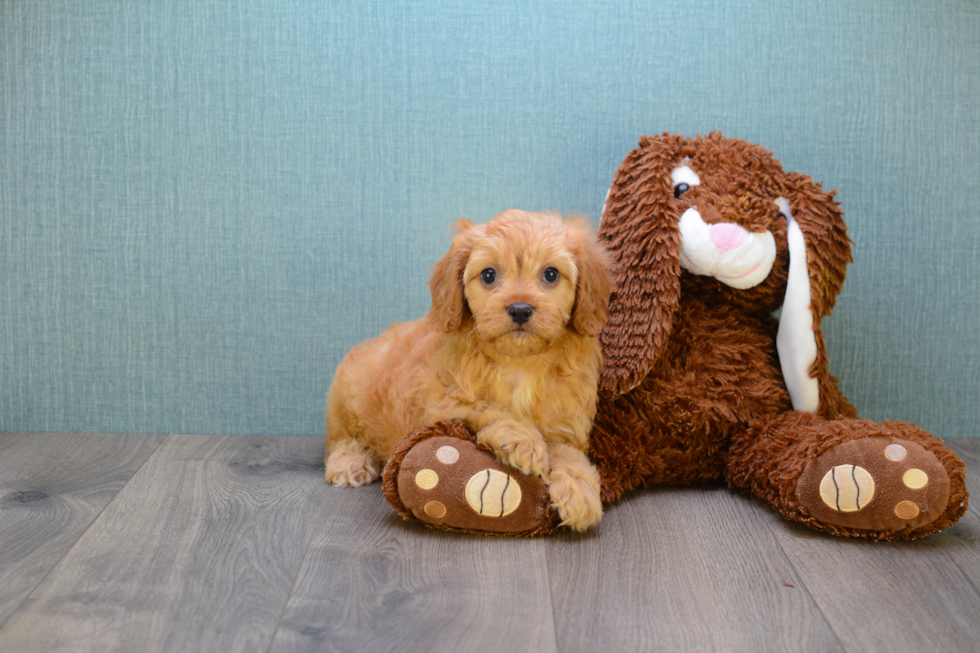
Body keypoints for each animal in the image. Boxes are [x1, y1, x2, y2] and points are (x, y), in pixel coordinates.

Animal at [322, 209, 612, 528]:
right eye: (488, 275)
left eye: (551, 274)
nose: (520, 309)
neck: (520, 362)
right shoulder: (439, 405)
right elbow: (488, 407)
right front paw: (523, 441)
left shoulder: (568, 423)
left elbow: (567, 452)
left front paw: (578, 490)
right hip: (348, 397)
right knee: (339, 439)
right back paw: (349, 463)